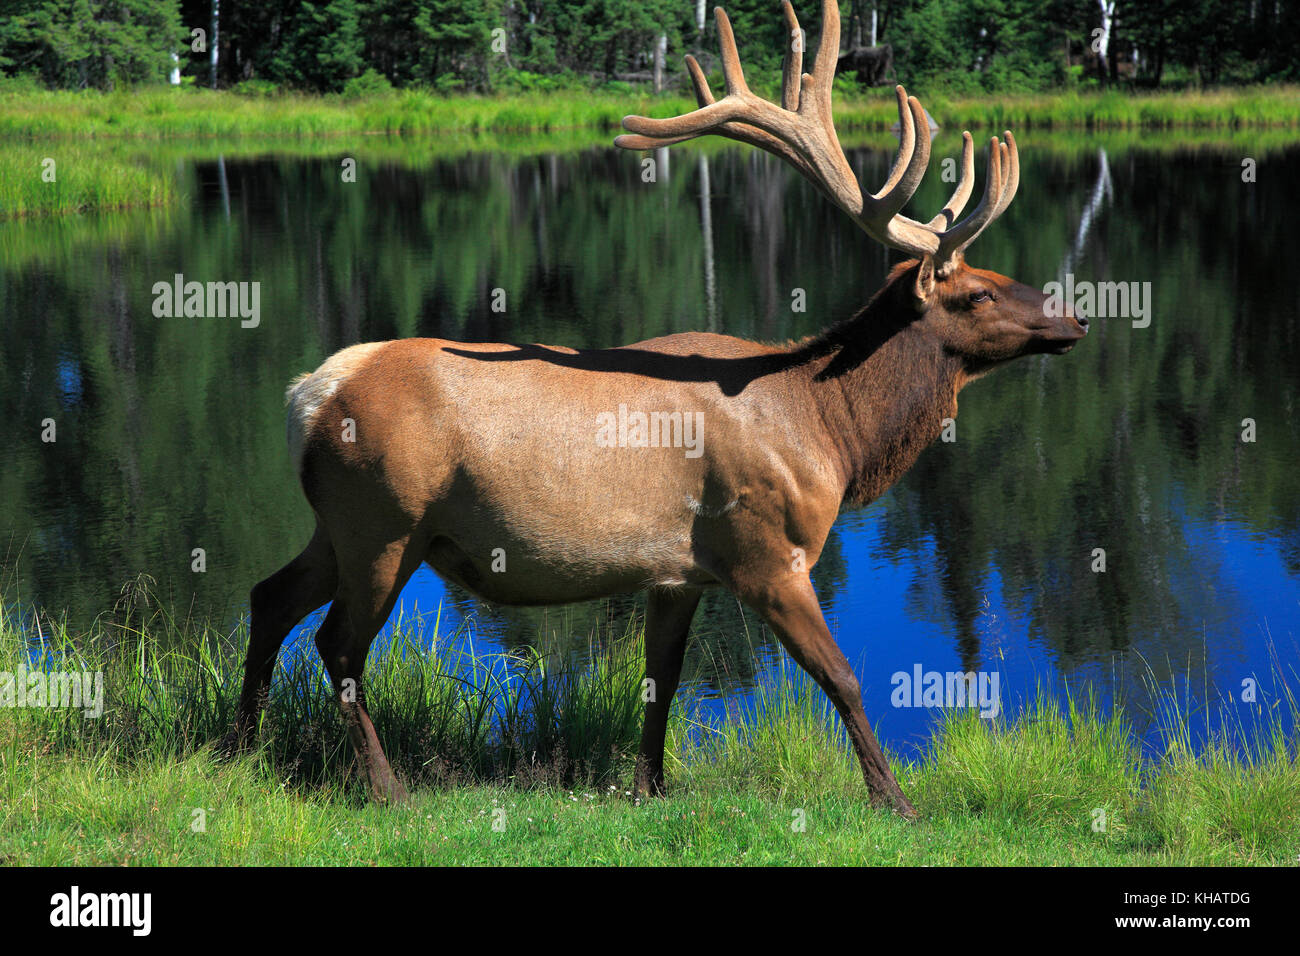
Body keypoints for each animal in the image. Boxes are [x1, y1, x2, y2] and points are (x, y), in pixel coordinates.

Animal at [226, 1, 1086, 822]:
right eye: (976, 294)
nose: (1075, 316)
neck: (828, 433)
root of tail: (311, 394)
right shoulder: (766, 551)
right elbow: (841, 677)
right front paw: (895, 800)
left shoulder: (678, 570)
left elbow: (660, 679)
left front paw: (650, 787)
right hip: (387, 523)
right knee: (339, 645)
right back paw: (384, 786)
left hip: (339, 525)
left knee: (268, 597)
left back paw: (239, 748)